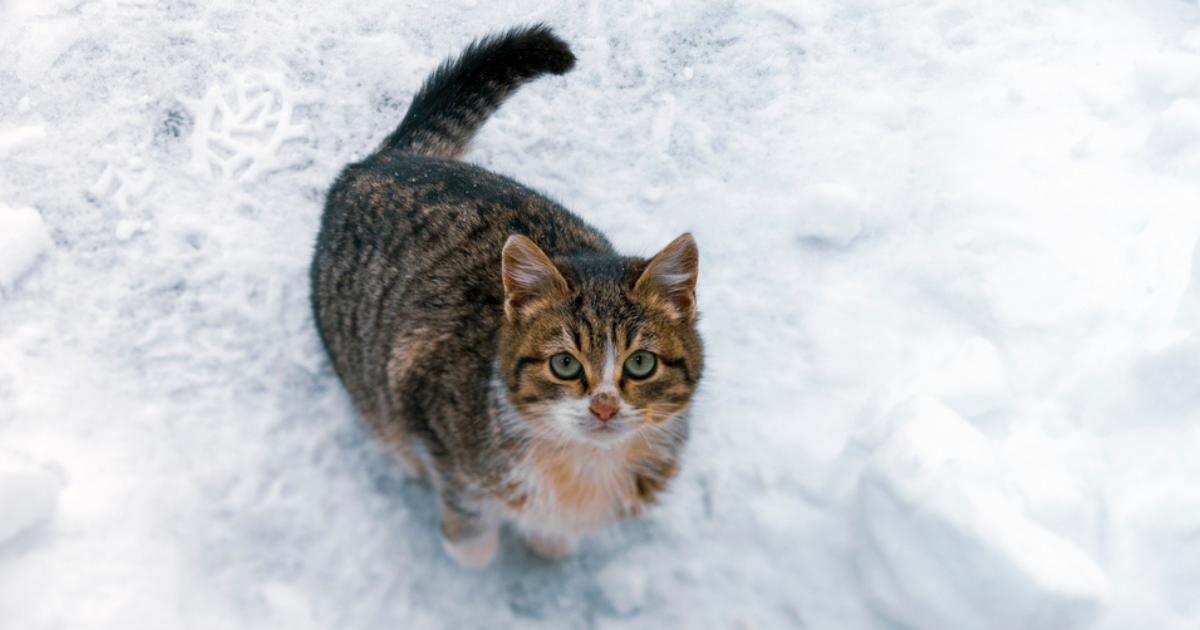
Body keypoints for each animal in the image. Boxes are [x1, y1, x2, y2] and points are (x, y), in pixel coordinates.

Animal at [309, 24, 700, 566]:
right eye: (564, 364)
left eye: (641, 363)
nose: (604, 407)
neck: (586, 466)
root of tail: (380, 160)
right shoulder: (428, 409)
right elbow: (470, 520)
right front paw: (473, 551)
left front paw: (550, 543)